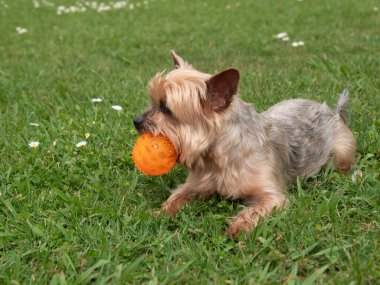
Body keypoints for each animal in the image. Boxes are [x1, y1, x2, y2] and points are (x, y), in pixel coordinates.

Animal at [134, 51, 356, 237]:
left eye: (165, 108)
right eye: (154, 102)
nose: (135, 120)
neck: (219, 157)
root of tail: (333, 112)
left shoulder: (272, 196)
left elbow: (256, 209)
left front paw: (239, 226)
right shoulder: (195, 185)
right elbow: (177, 197)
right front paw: (159, 213)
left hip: (342, 151)